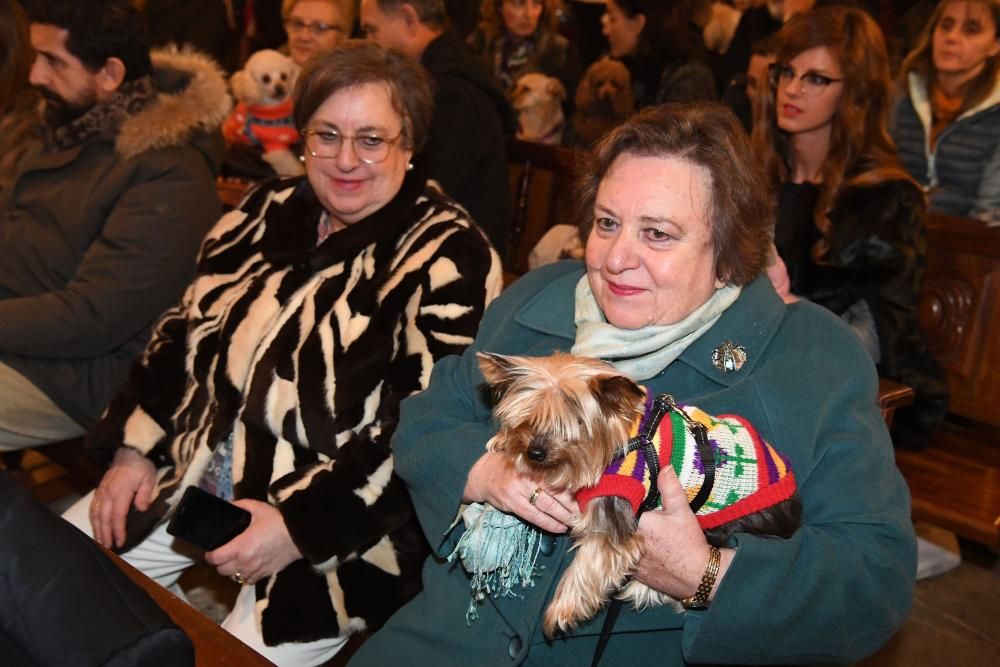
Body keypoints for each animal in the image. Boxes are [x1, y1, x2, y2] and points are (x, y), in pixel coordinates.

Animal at [478, 350, 804, 636]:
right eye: (527, 419)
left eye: (576, 425)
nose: (535, 453)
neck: (627, 437)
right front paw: (501, 441)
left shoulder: (616, 516)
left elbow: (594, 559)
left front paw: (561, 609)